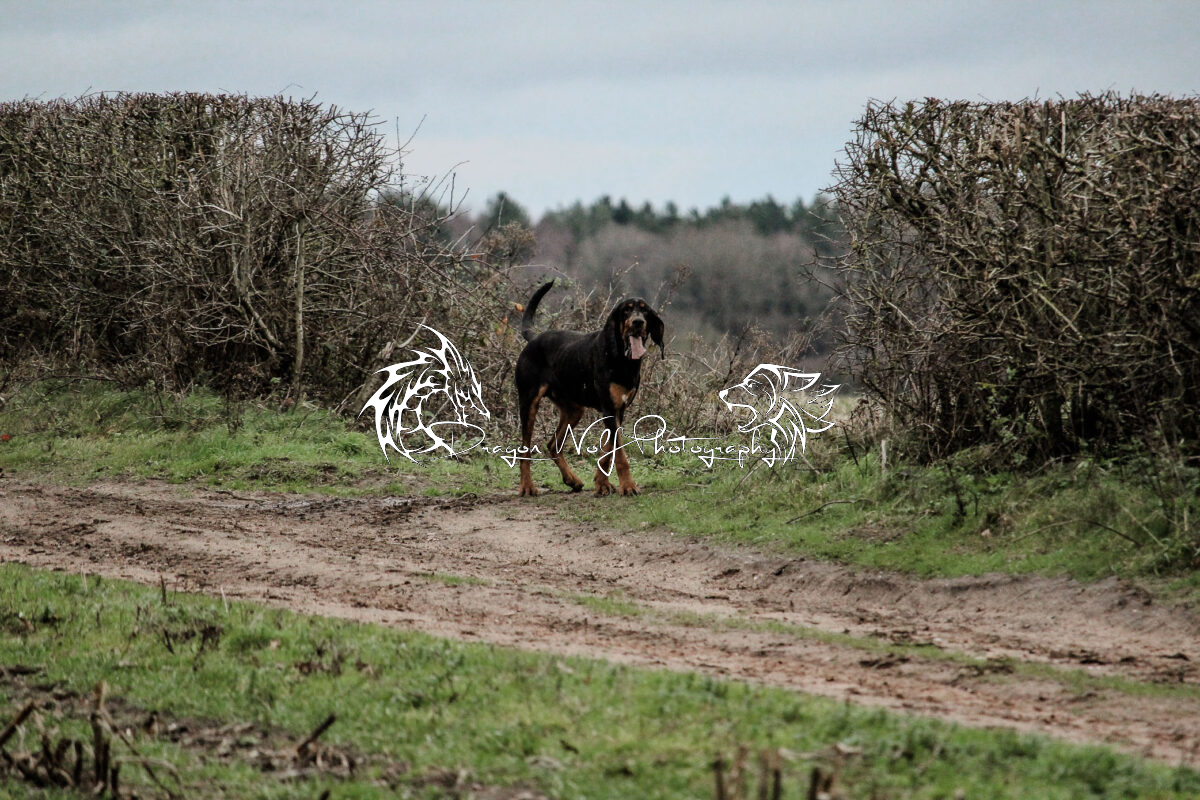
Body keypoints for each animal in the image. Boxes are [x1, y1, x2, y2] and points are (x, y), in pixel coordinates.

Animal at [515, 280, 664, 496]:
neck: (622, 358)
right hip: (529, 403)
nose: (638, 322)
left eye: (644, 311)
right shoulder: (609, 409)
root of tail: (534, 338)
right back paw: (527, 486)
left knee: (553, 445)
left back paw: (572, 480)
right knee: (524, 449)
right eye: (626, 311)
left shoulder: (618, 410)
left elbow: (608, 450)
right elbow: (620, 454)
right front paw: (628, 486)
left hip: (574, 410)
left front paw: (602, 484)